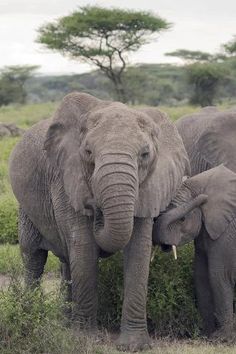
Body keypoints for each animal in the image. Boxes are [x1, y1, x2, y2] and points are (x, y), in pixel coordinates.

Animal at [10, 92, 189, 352]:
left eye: (145, 155)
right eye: (88, 152)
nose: (93, 205)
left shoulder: (149, 187)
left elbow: (139, 251)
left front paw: (134, 346)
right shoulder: (66, 181)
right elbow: (84, 249)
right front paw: (83, 340)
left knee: (66, 261)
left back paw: (64, 323)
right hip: (26, 209)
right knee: (33, 257)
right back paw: (32, 315)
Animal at [152, 165, 236, 342]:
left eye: (183, 219)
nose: (203, 198)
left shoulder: (226, 234)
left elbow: (218, 275)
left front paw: (221, 339)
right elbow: (201, 276)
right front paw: (206, 335)